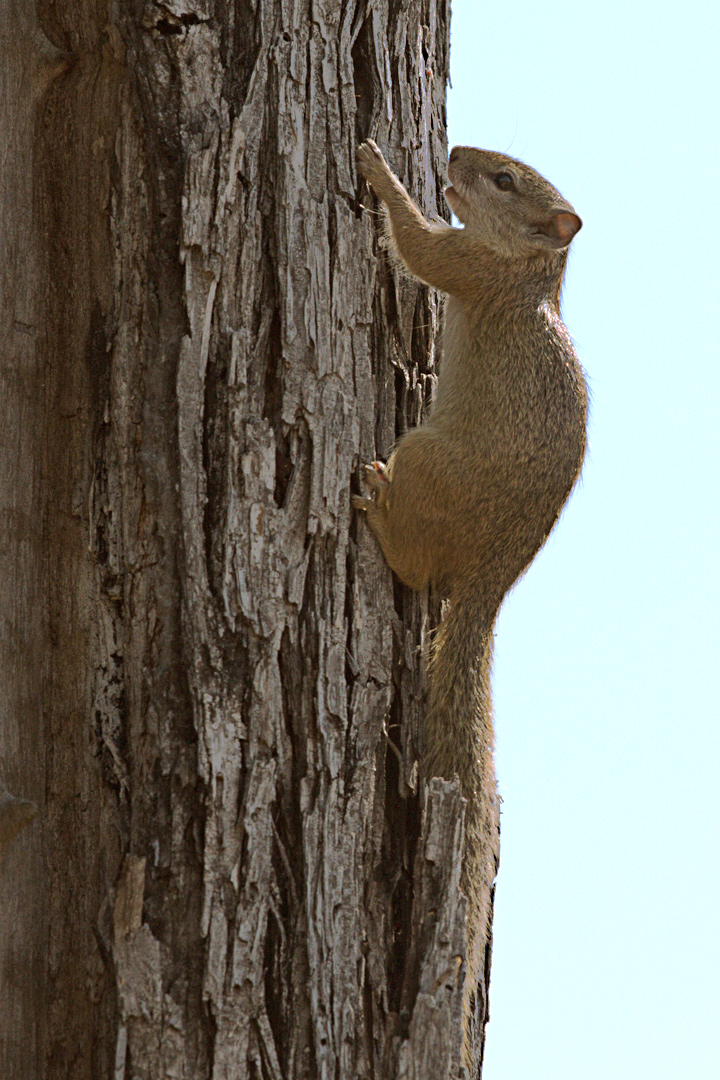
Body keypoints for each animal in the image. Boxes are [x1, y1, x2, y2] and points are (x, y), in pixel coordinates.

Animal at [353, 139, 587, 1070]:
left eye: (505, 182)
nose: (454, 152)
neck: (528, 272)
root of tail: (490, 582)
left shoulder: (467, 269)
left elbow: (419, 249)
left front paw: (377, 166)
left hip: (427, 460)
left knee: (416, 567)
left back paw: (375, 502)